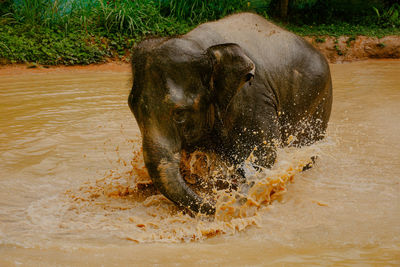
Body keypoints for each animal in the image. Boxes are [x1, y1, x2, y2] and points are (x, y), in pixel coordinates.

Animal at [127, 12, 332, 216]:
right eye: (132, 107)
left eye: (180, 113)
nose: (217, 205)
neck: (200, 46)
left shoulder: (253, 100)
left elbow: (264, 157)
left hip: (318, 101)